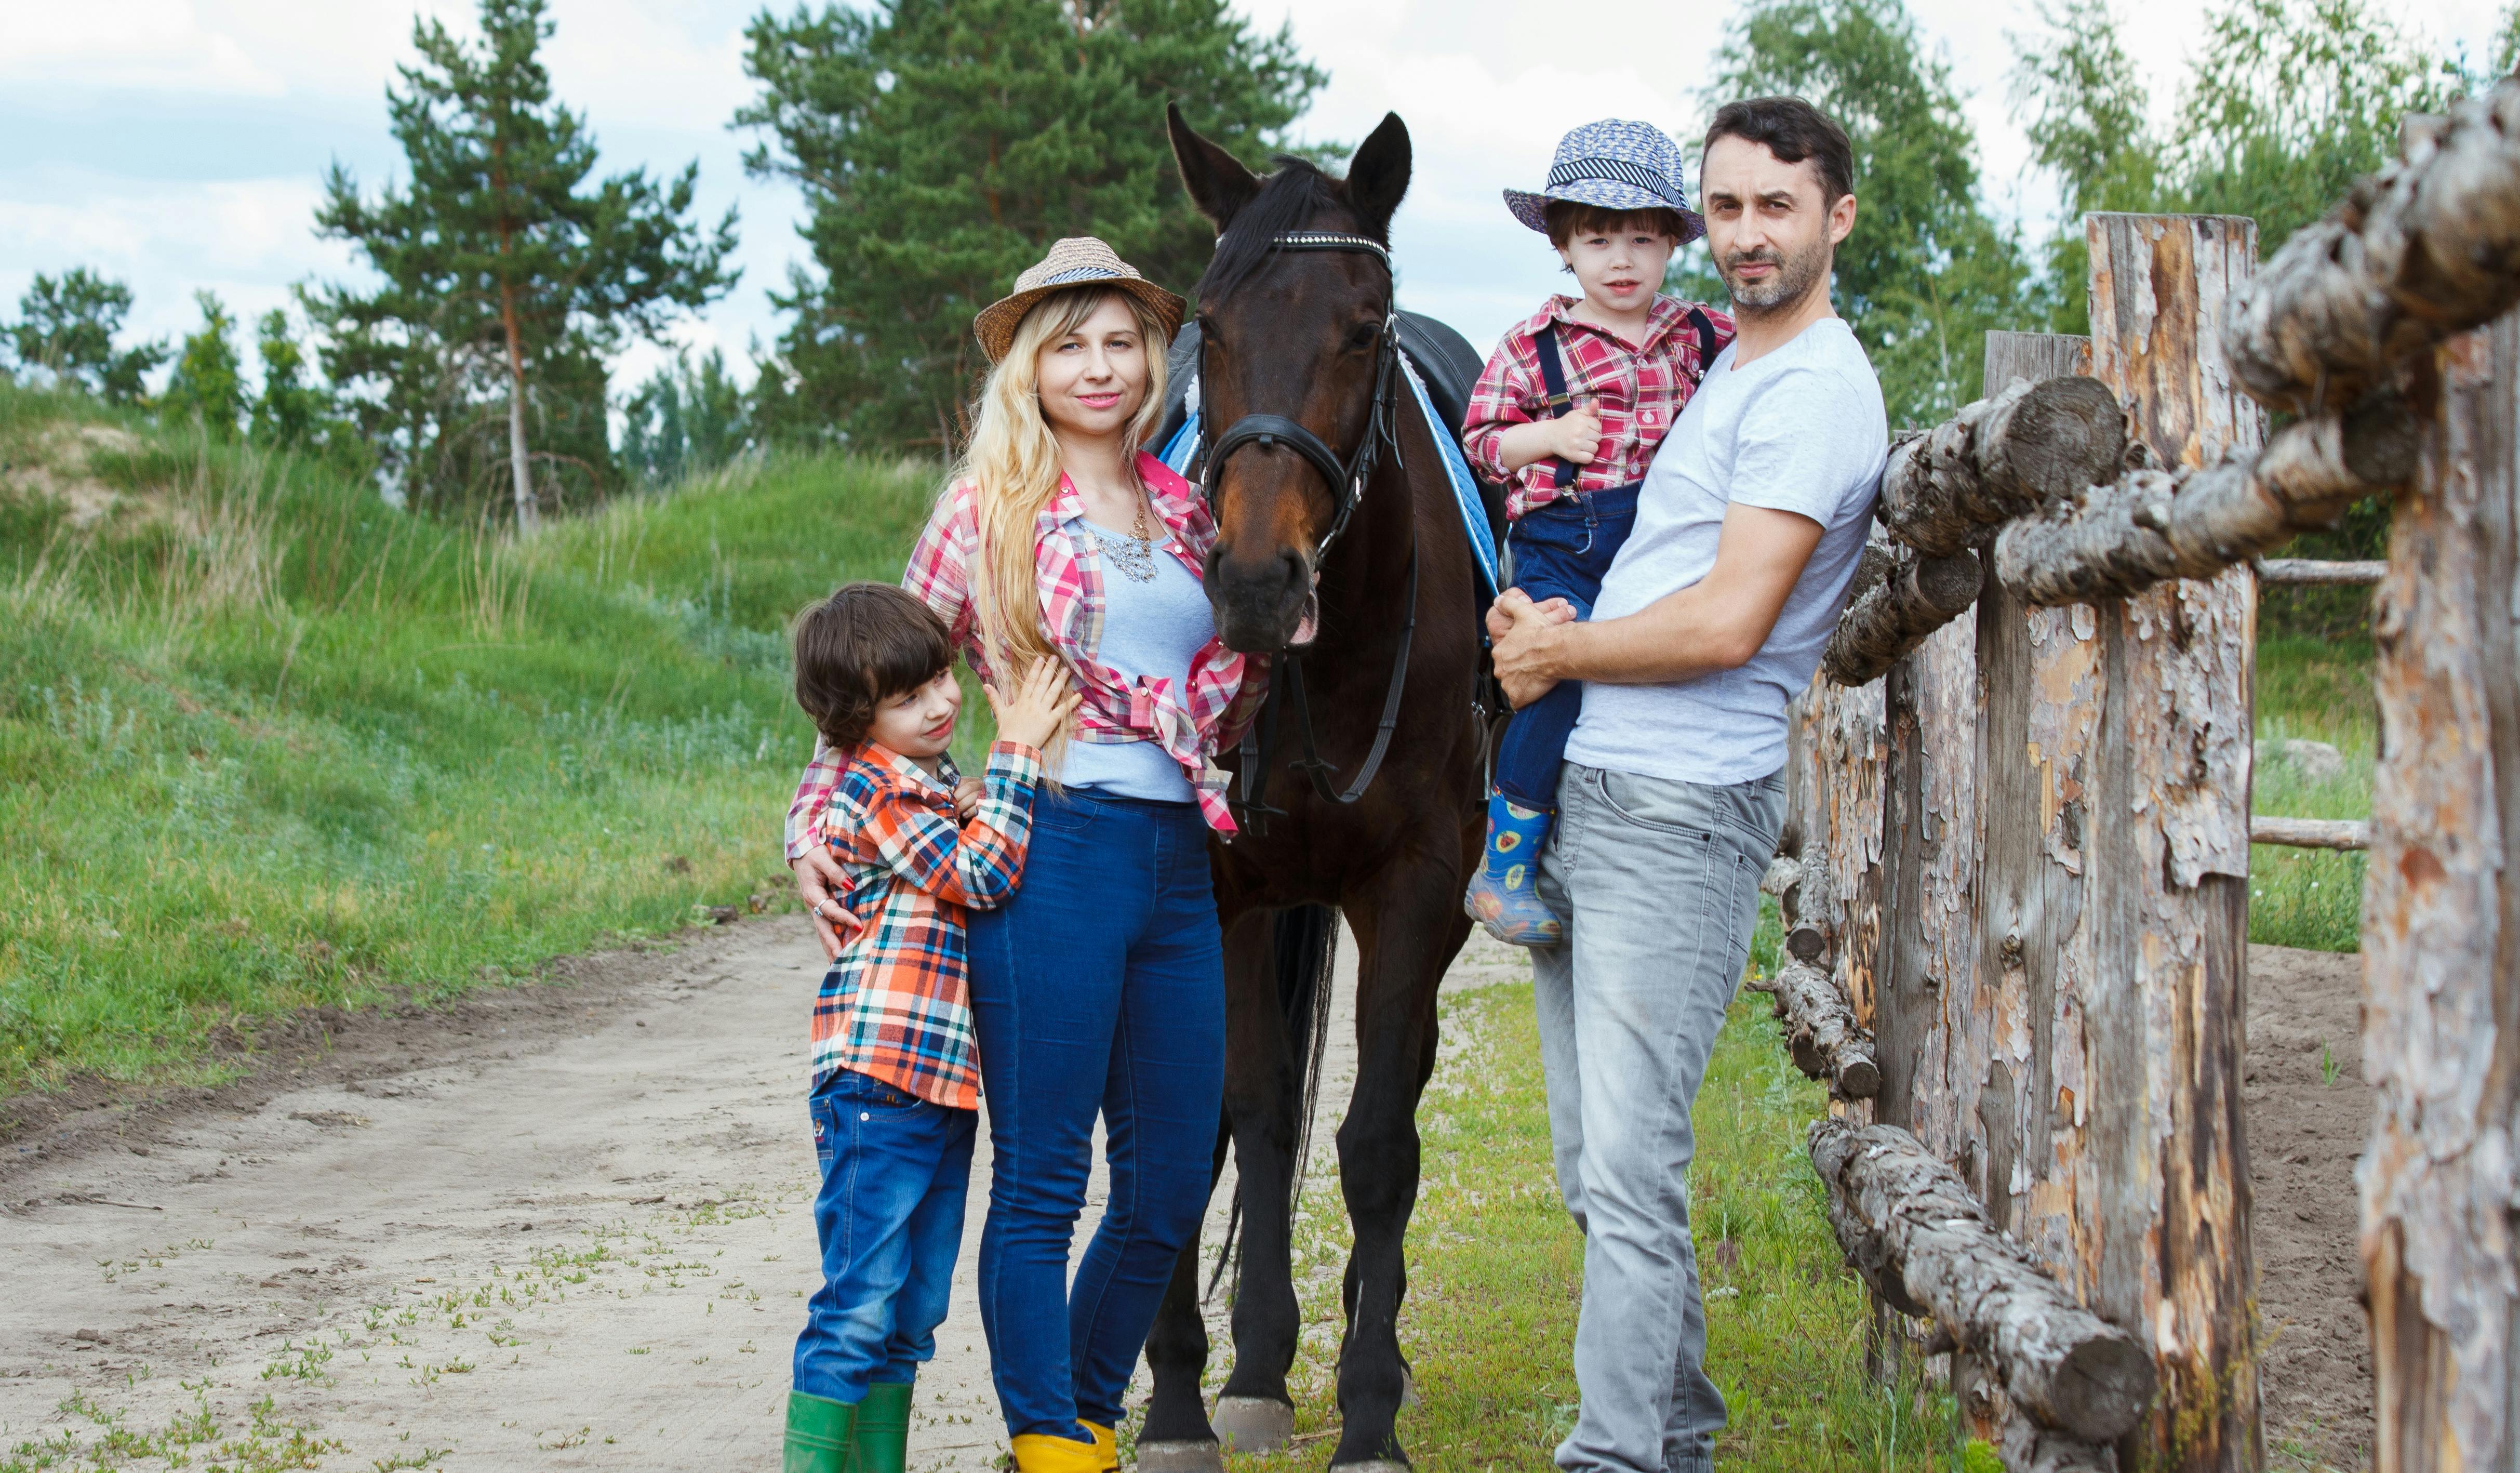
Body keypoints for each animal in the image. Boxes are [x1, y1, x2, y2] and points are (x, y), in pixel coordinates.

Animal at [1134, 107, 1482, 1473]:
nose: (1254, 581)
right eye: (1212, 325)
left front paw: (1369, 1410)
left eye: (1362, 327)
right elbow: (1235, 1111)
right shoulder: (1218, 885)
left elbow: (1379, 1142)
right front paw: (1191, 1397)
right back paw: (1260, 1362)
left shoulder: (1414, 884)